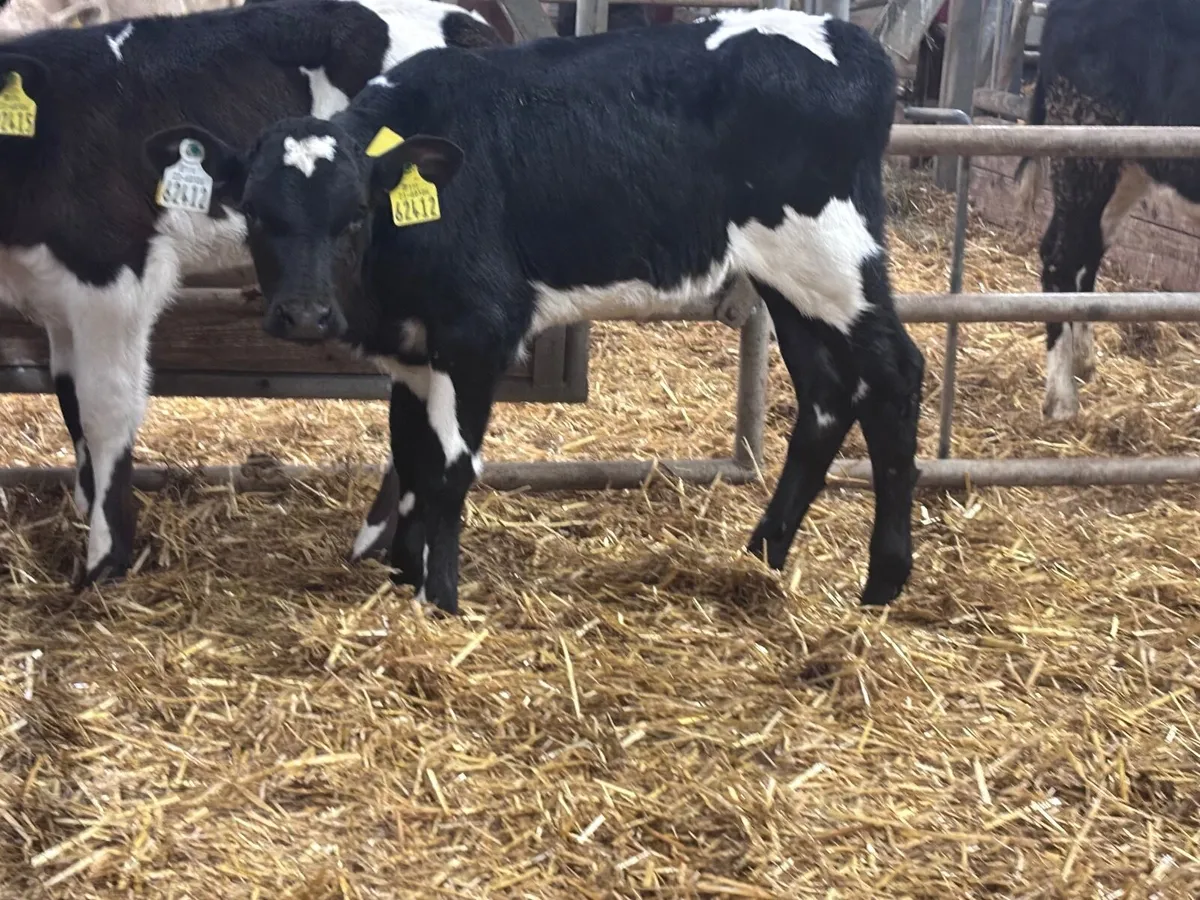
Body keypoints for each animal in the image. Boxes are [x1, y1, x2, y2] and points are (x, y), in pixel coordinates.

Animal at [0, 0, 502, 587]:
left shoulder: (114, 274)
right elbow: (69, 400)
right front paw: (83, 508)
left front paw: (105, 557)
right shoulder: (55, 289)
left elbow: (106, 409)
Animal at [150, 8, 926, 615]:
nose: (305, 315)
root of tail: (848, 41)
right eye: (255, 213)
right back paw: (761, 555)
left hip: (834, 259)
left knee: (895, 373)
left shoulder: (479, 332)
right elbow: (410, 451)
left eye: (355, 215)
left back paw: (883, 583)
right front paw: (403, 574)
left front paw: (440, 598)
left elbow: (448, 467)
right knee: (827, 393)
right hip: (790, 283)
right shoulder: (413, 347)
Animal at [1016, 0, 1200, 420]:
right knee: (1061, 257)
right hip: (1086, 145)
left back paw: (1083, 359)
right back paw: (1062, 398)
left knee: (1086, 248)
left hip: (1127, 165)